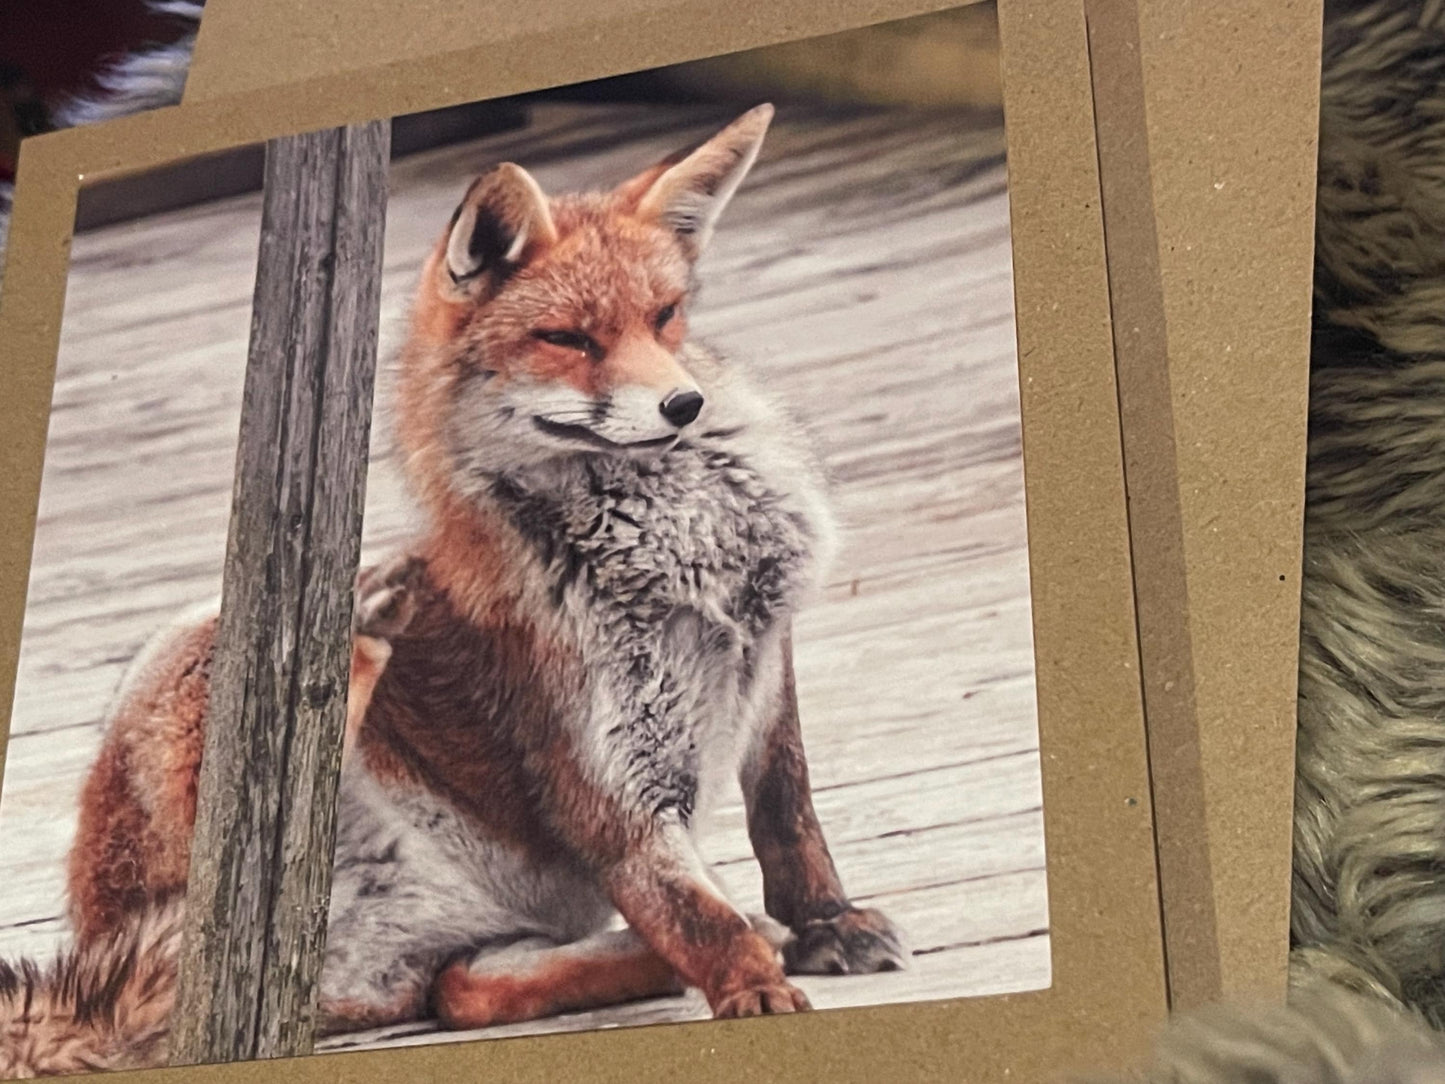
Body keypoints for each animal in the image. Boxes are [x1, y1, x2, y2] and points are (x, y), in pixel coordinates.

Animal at [11, 103, 904, 1073]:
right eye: (570, 339)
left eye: (664, 318)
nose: (684, 406)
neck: (679, 551)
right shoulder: (609, 782)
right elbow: (699, 919)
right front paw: (755, 995)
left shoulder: (764, 664)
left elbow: (787, 817)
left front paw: (820, 923)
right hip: (196, 656)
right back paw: (357, 630)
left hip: (457, 943)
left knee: (462, 992)